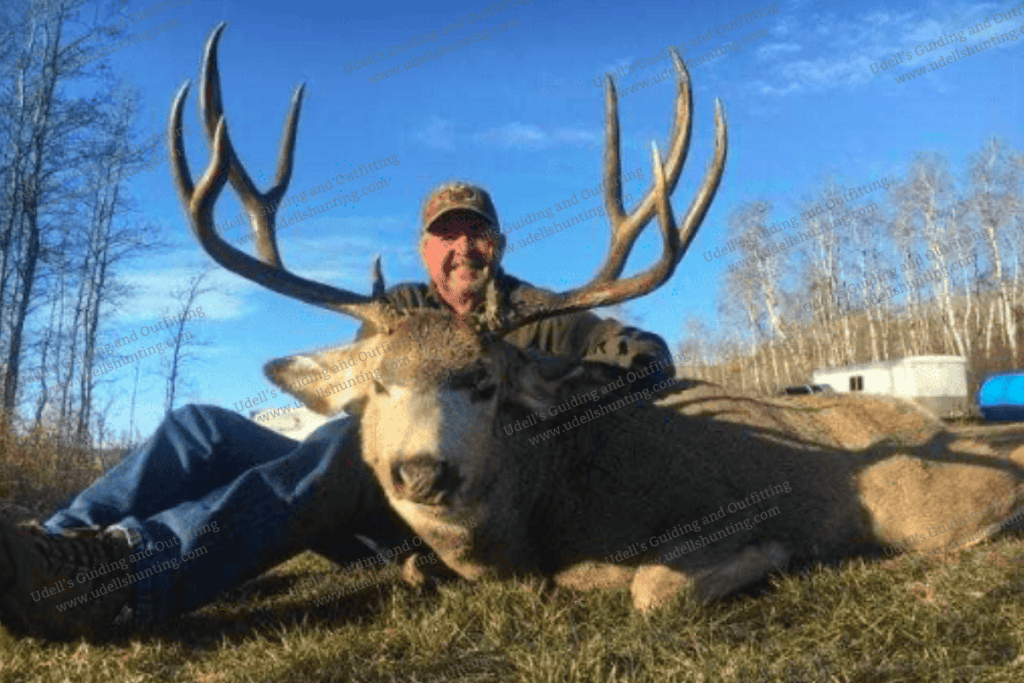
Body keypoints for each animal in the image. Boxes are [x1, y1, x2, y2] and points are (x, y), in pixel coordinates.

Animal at [170, 24, 1024, 613]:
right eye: (377, 385)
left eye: (484, 382)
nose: (421, 470)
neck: (538, 512)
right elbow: (413, 564)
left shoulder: (719, 511)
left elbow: (653, 586)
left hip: (919, 501)